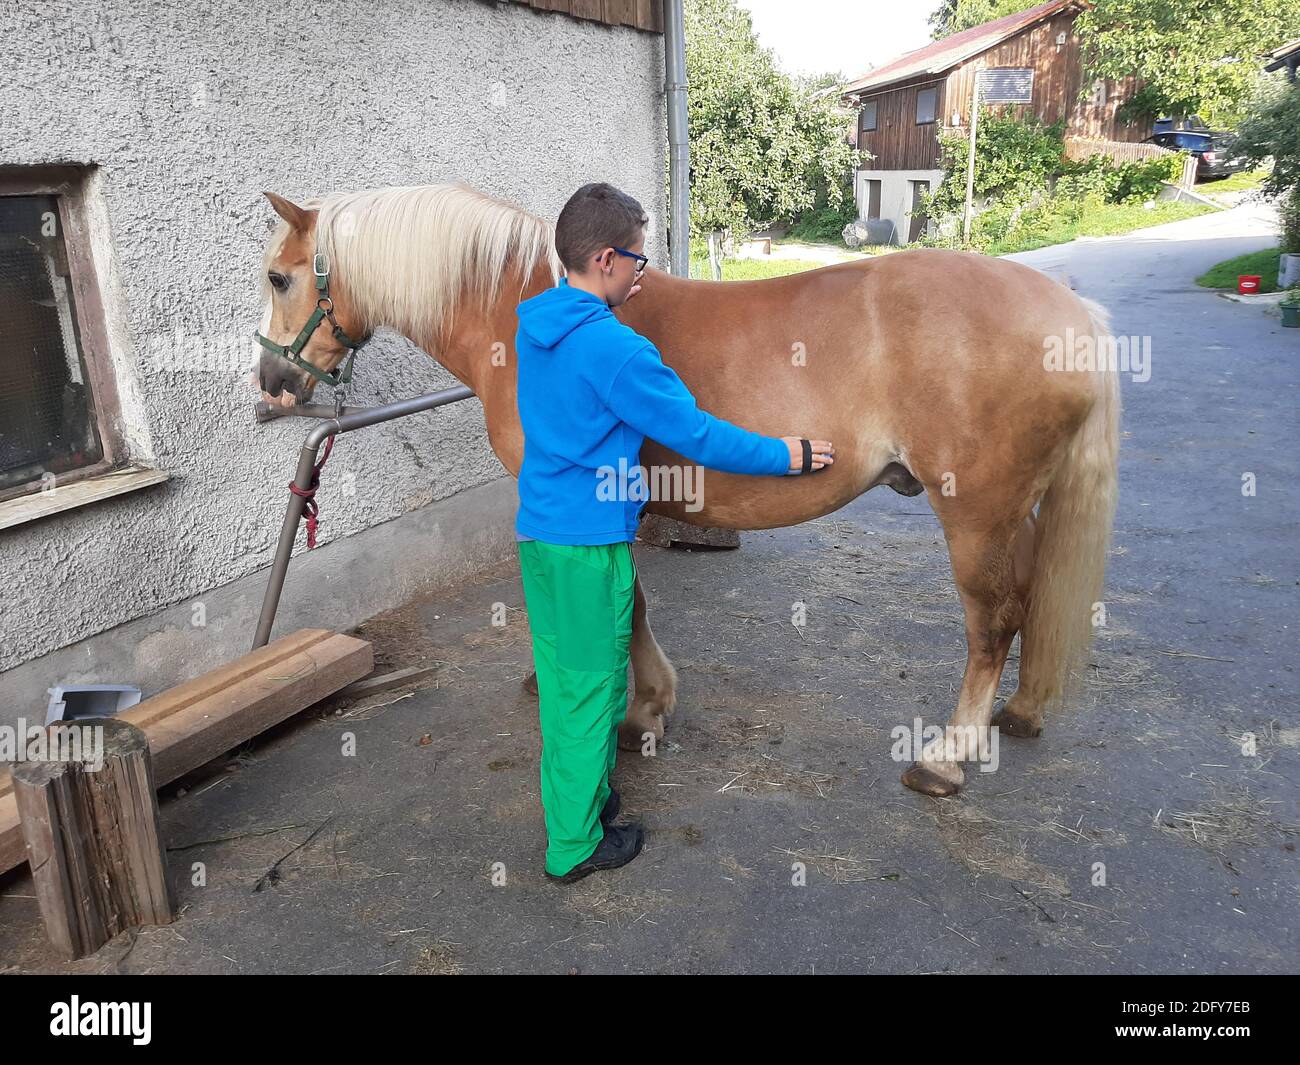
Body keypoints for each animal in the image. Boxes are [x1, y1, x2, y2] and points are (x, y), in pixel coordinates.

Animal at [253, 185, 1118, 801]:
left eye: (278, 276)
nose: (271, 385)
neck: (535, 315)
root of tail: (1073, 311)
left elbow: (627, 604)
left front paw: (640, 711)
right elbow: (630, 600)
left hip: (976, 512)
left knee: (992, 620)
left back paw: (946, 755)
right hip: (1018, 510)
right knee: (1030, 600)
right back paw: (1019, 712)